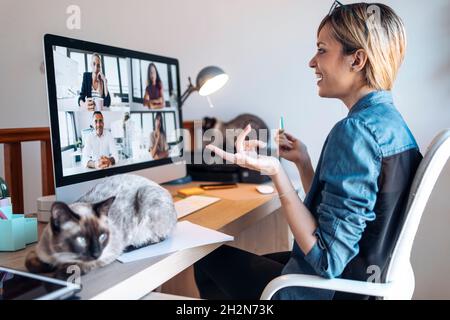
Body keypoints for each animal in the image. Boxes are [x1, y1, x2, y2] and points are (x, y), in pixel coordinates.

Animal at [25, 174, 178, 276]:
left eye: (101, 237)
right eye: (81, 240)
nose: (96, 252)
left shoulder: (107, 253)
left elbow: (76, 267)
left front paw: (60, 274)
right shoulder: (39, 253)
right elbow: (31, 264)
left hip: (146, 196)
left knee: (157, 237)